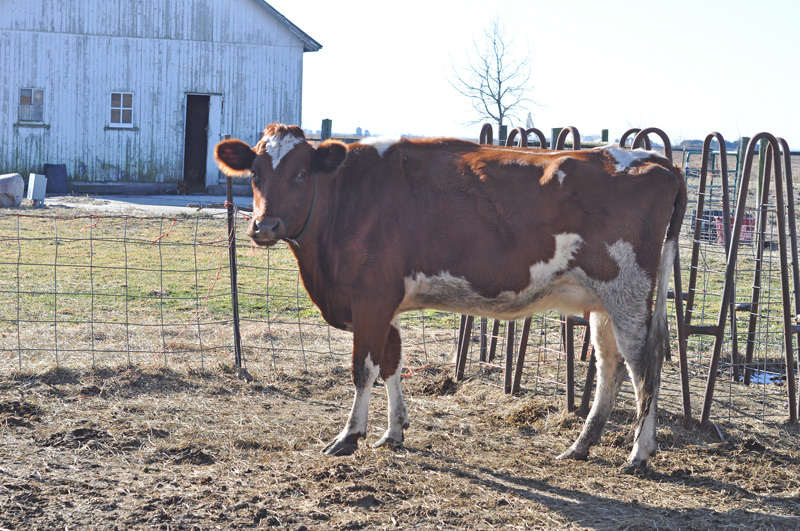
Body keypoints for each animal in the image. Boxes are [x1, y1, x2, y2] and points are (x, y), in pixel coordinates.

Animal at [215, 123, 687, 471]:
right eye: (255, 174)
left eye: (300, 174)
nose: (264, 226)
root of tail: (658, 161)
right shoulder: (387, 302)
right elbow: (393, 362)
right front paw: (393, 432)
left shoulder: (370, 298)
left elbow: (363, 368)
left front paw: (349, 436)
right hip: (603, 302)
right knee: (611, 368)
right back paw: (581, 446)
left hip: (628, 291)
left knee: (644, 366)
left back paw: (638, 454)